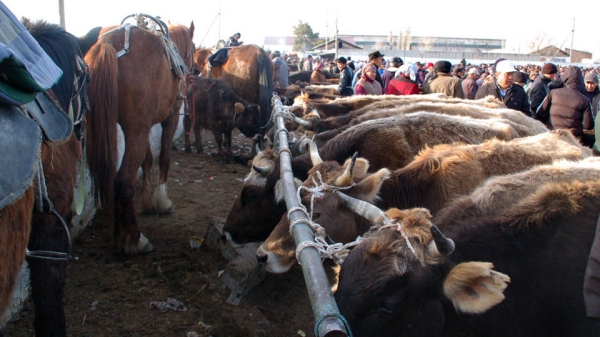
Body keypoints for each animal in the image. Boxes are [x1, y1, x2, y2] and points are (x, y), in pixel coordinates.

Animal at [84, 17, 195, 255]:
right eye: (193, 48)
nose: (194, 72)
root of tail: (109, 45)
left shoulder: (146, 126)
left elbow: (148, 159)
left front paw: (147, 201)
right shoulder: (170, 117)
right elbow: (163, 157)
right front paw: (162, 201)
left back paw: (120, 233)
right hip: (136, 129)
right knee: (123, 179)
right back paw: (135, 239)